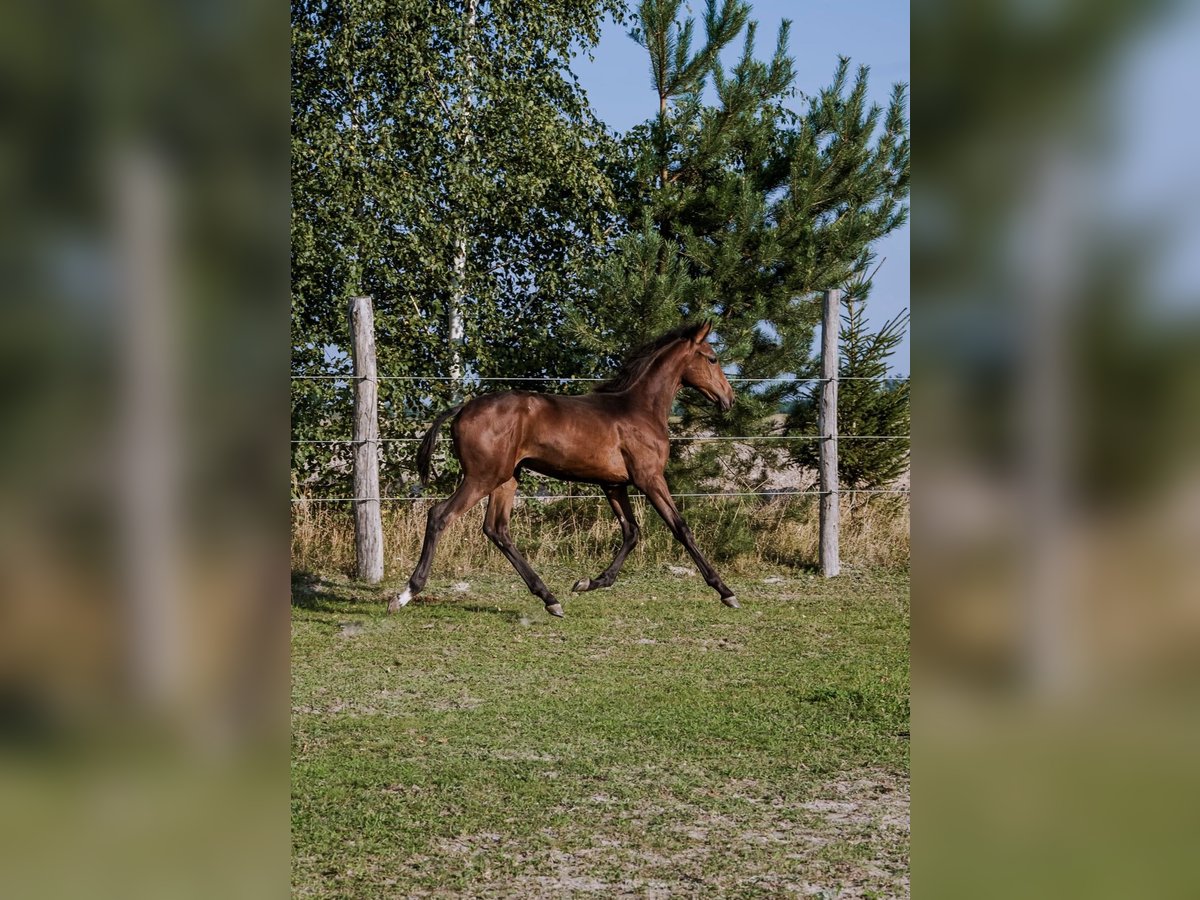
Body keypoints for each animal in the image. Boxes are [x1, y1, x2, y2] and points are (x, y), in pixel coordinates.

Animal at [388, 319, 734, 619]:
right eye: (713, 358)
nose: (729, 399)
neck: (639, 409)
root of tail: (462, 408)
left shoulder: (614, 484)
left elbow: (631, 532)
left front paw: (589, 582)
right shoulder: (649, 478)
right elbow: (681, 528)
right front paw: (726, 592)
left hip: (506, 479)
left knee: (497, 529)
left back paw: (550, 598)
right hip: (482, 477)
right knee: (440, 515)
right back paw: (406, 593)